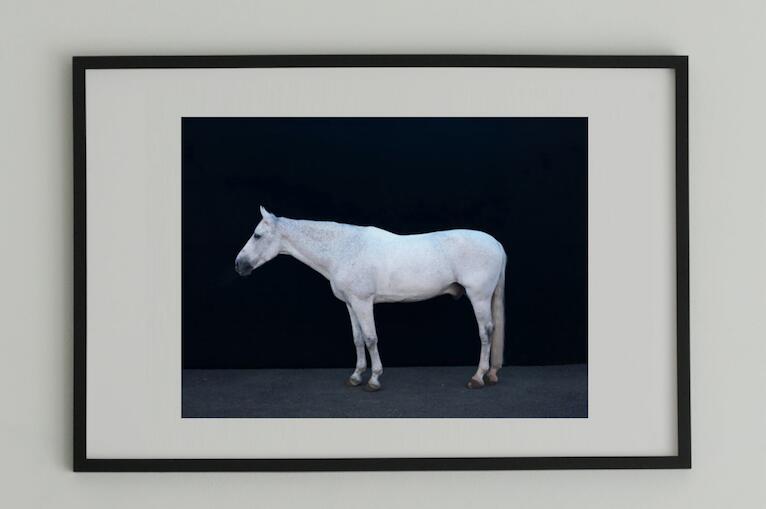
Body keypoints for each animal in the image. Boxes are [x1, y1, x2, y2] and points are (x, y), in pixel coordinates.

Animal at [234, 206, 507, 392]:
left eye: (257, 235)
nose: (239, 265)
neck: (343, 249)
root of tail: (497, 244)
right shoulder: (350, 303)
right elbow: (357, 339)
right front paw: (356, 376)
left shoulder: (363, 302)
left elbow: (370, 338)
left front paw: (374, 379)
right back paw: (491, 373)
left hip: (479, 297)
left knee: (486, 332)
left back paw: (478, 377)